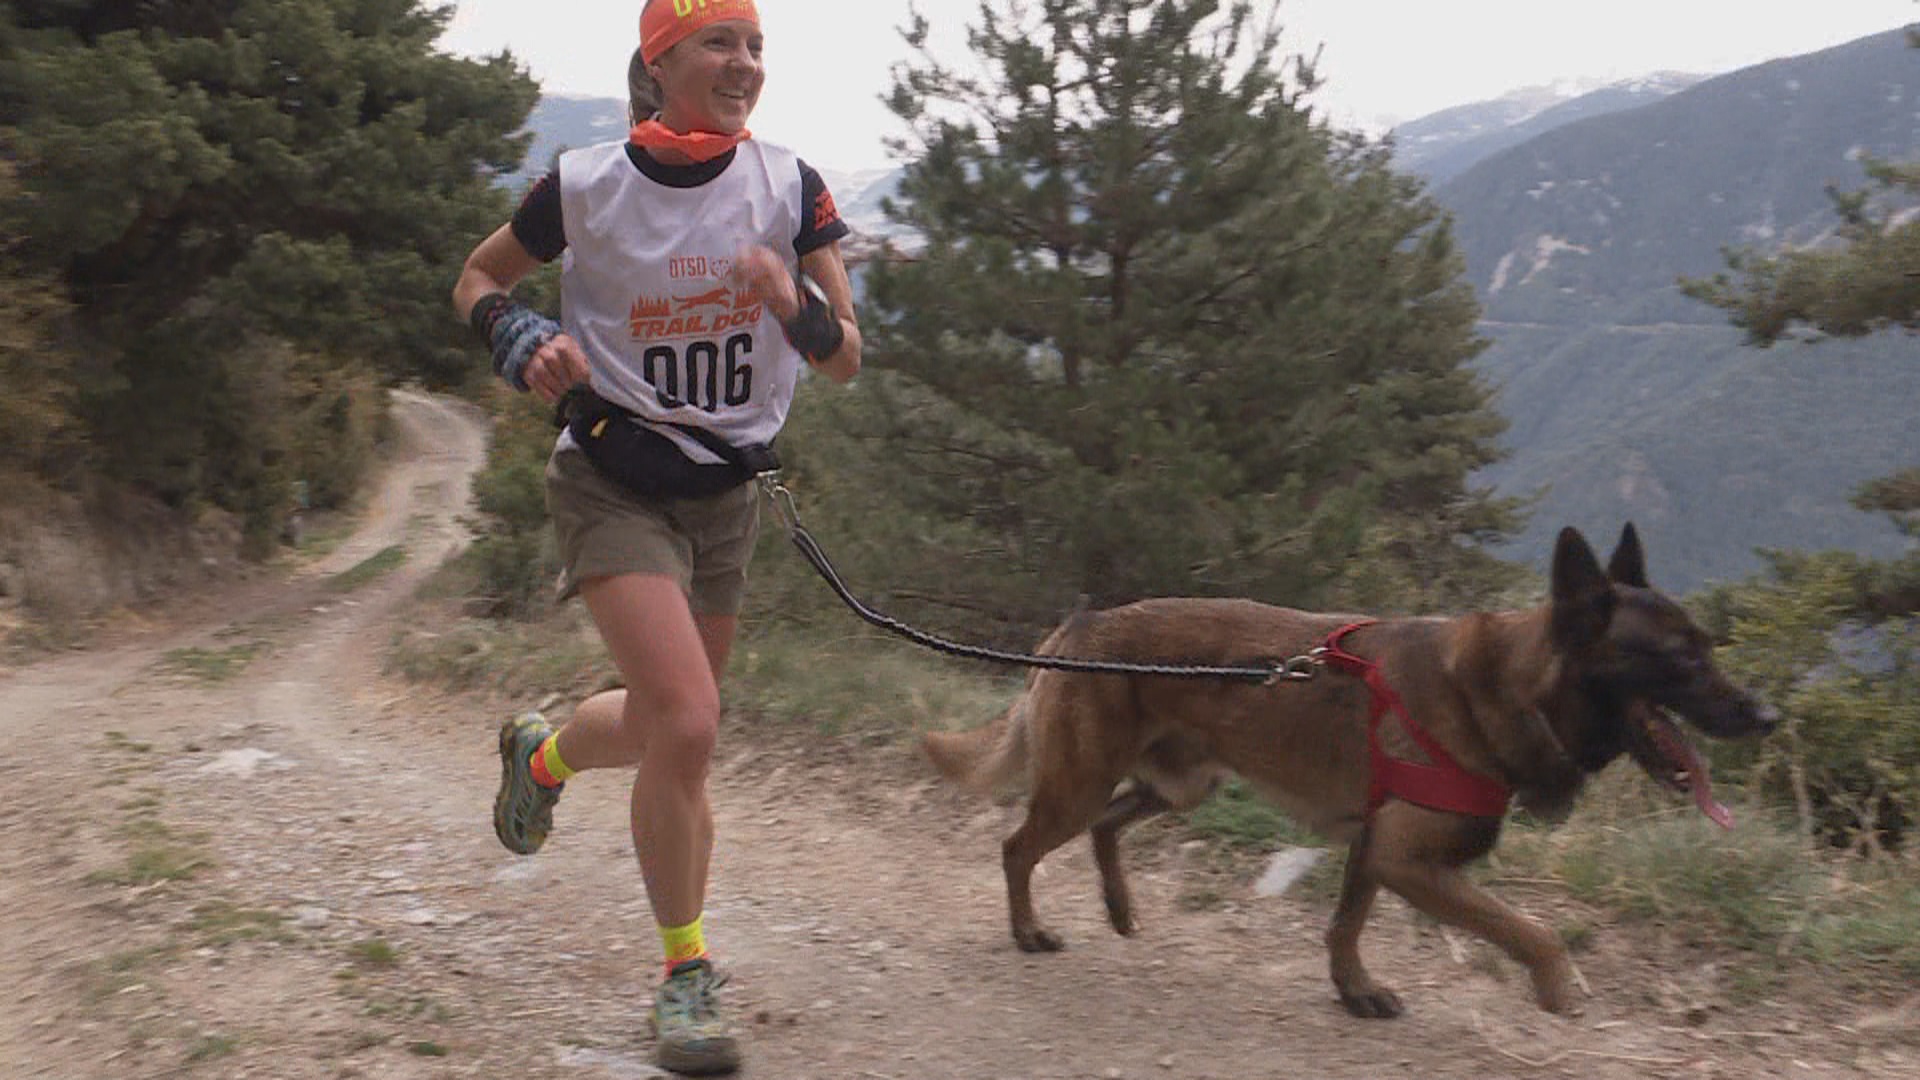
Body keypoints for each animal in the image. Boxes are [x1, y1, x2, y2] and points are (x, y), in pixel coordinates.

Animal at [921, 526, 1774, 1014]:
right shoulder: (1409, 862)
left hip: (1182, 784)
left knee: (1105, 825)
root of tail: (1081, 622)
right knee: (1018, 847)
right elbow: (1530, 928)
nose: (1767, 716)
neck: (1505, 688)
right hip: (1083, 783)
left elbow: (1345, 925)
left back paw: (1120, 907)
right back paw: (1028, 930)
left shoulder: (1374, 851)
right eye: (1678, 659)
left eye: (1707, 646)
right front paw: (1558, 986)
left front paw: (1352, 989)